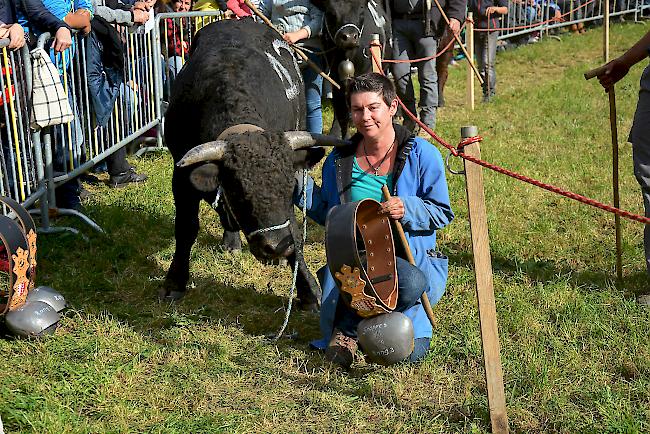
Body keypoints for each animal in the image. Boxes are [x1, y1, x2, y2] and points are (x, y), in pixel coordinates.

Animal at [159, 19, 344, 308]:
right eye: (240, 193)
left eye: (289, 189)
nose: (276, 246)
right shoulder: (181, 178)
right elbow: (186, 228)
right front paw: (174, 282)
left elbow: (294, 230)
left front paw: (308, 289)